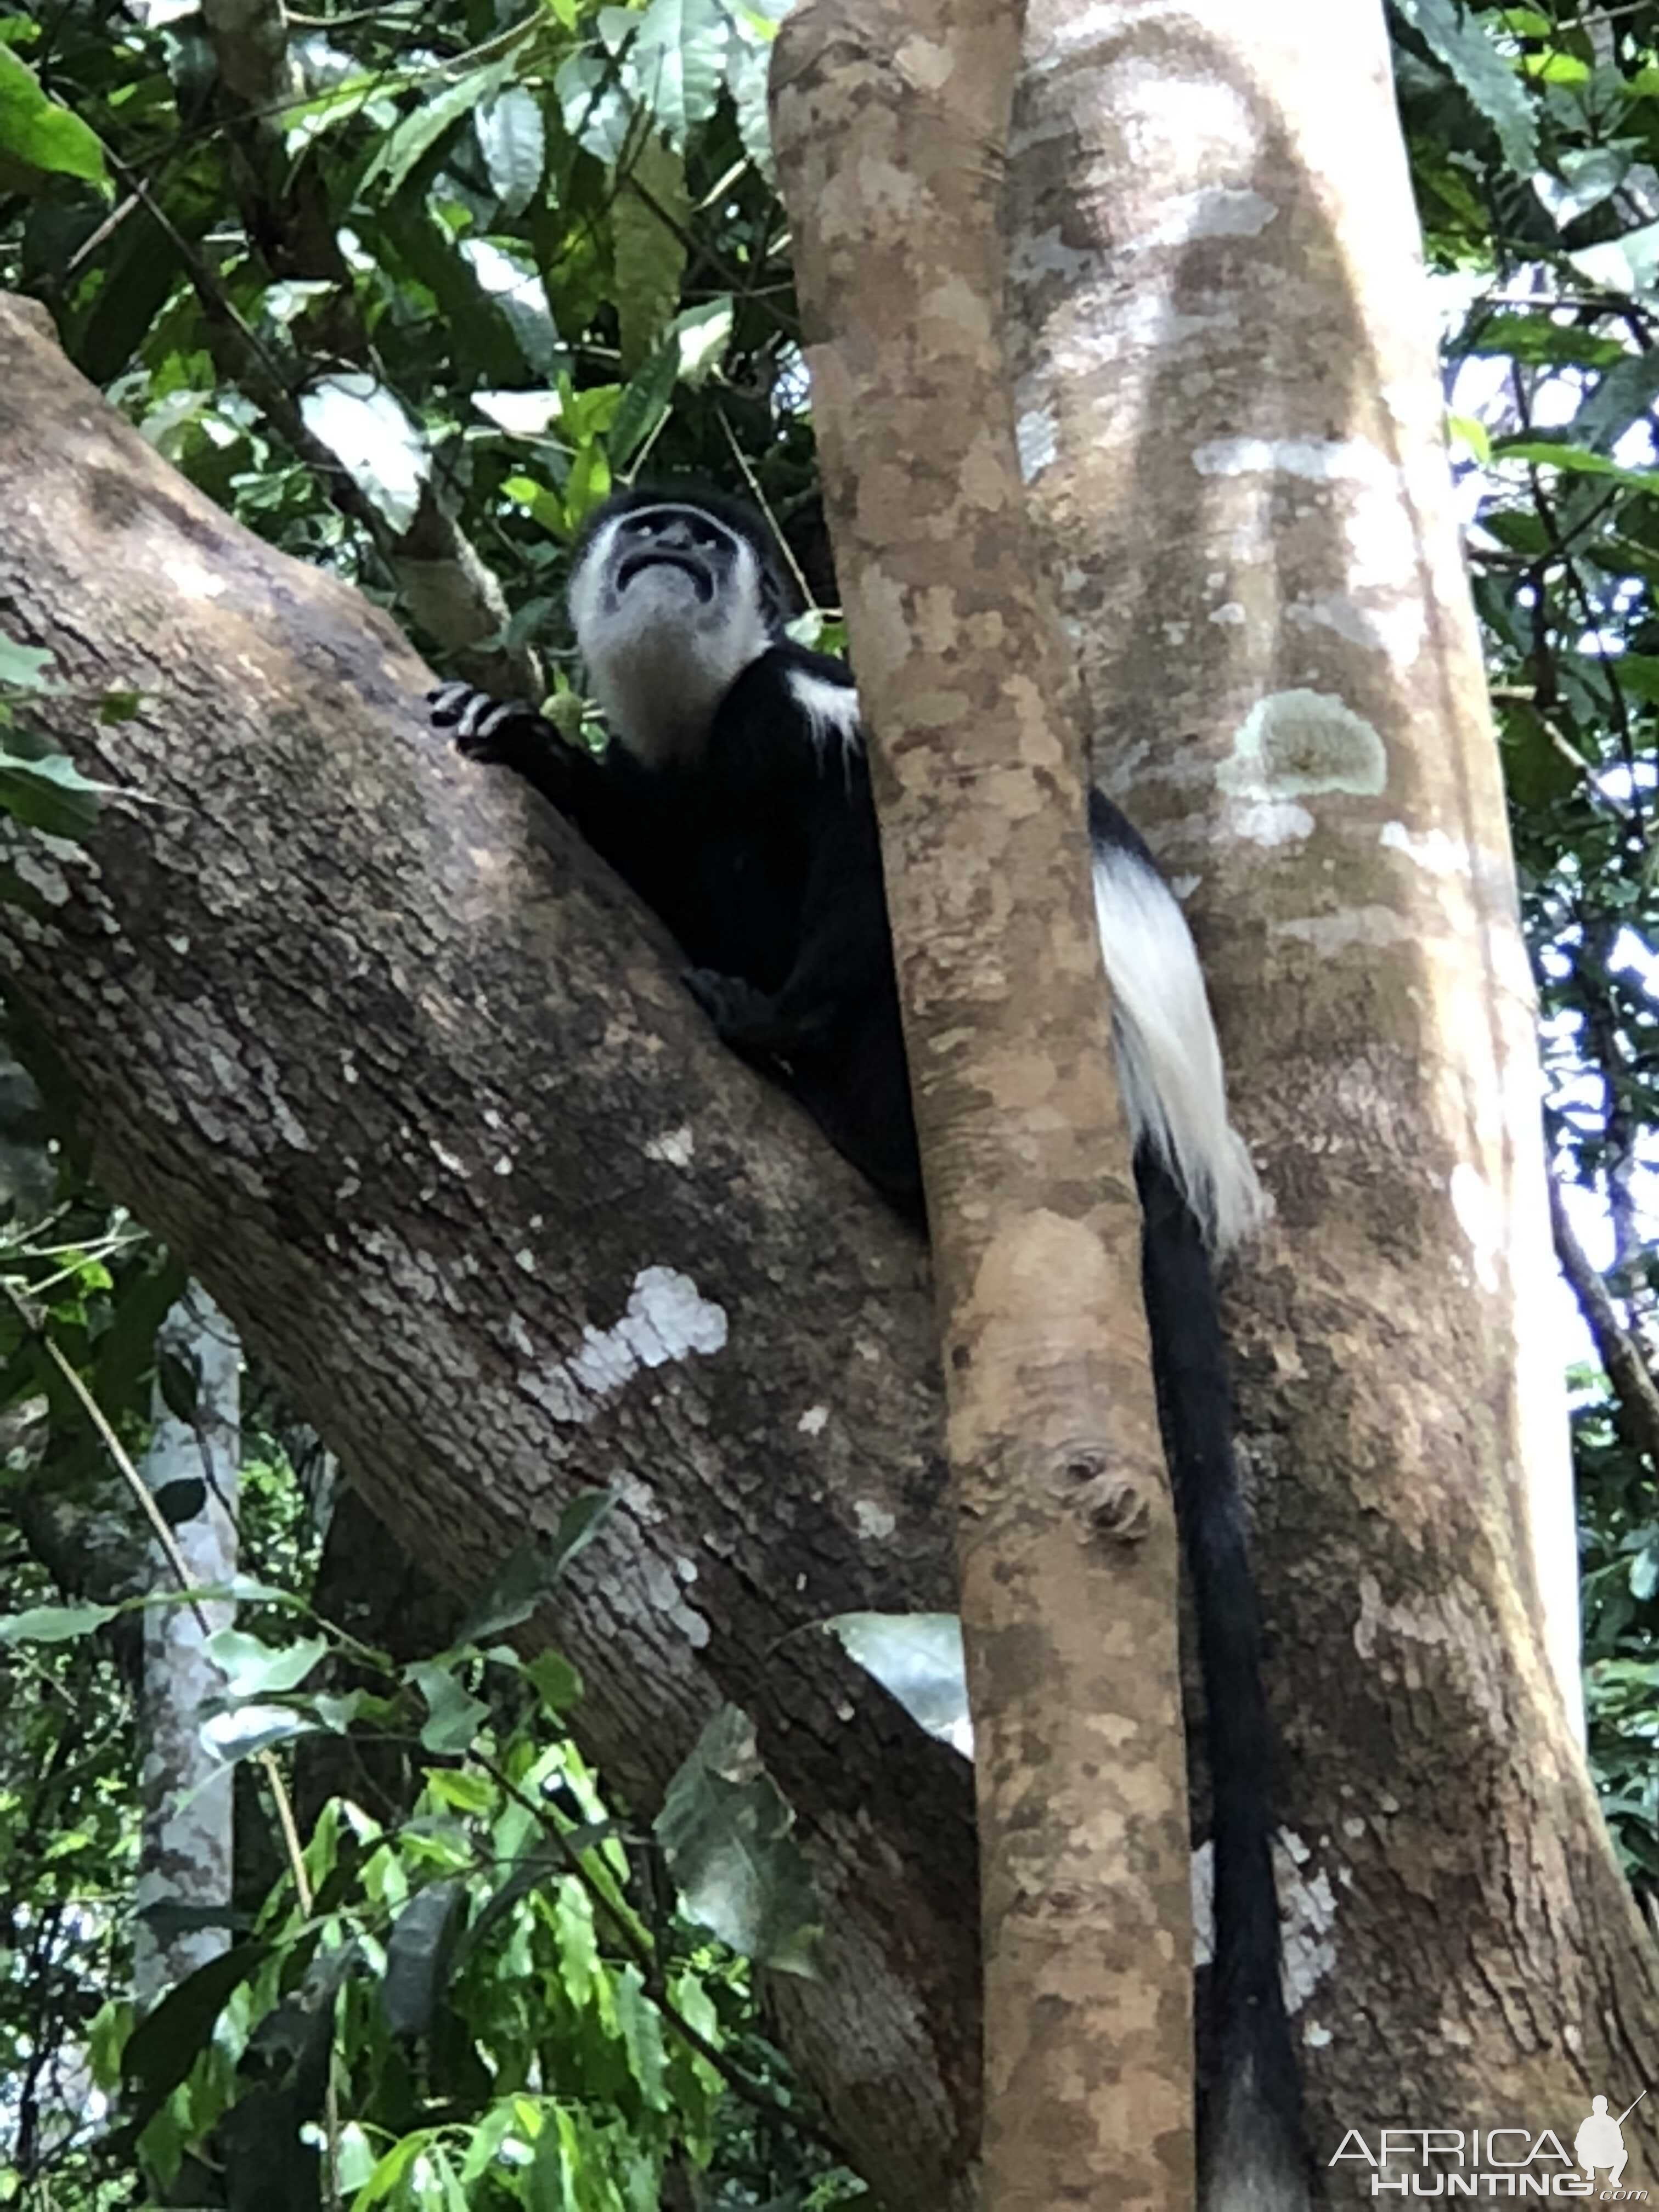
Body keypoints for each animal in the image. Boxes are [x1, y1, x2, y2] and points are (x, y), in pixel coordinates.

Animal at [429, 484, 1309, 2212]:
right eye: (649, 525)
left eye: (701, 536)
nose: (677, 539)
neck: (699, 726)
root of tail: (1164, 1155)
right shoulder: (677, 786)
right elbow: (649, 843)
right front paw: (516, 733)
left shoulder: (797, 716)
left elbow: (861, 865)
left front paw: (766, 1017)